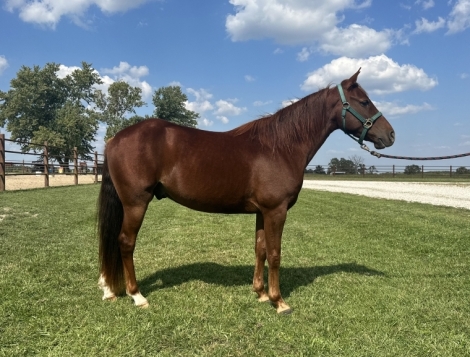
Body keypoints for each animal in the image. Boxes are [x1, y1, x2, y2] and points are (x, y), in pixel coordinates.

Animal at [97, 69, 394, 312]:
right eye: (364, 102)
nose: (390, 135)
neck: (280, 147)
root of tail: (115, 139)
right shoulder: (277, 211)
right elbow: (275, 253)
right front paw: (279, 301)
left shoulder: (263, 212)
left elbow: (260, 249)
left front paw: (260, 293)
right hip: (136, 203)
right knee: (125, 242)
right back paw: (137, 296)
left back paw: (110, 289)